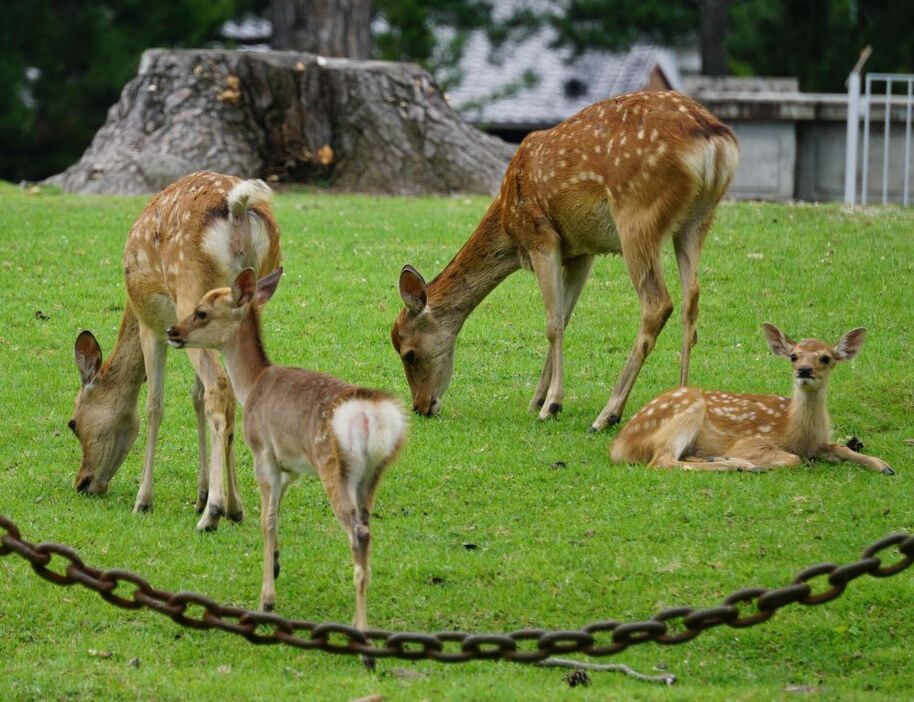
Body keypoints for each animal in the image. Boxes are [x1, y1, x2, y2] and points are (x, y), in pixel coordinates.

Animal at [71, 172, 280, 532]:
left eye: (72, 422)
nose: (82, 482)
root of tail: (239, 207)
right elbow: (196, 397)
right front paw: (205, 495)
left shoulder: (153, 327)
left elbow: (155, 405)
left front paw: (144, 499)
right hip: (252, 299)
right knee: (231, 389)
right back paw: (230, 506)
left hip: (191, 289)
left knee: (218, 385)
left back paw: (214, 513)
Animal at [165, 268, 406, 632]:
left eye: (202, 312)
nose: (172, 331)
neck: (251, 386)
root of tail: (374, 417)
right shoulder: (291, 465)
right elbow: (278, 512)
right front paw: (277, 564)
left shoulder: (262, 451)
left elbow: (267, 520)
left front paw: (266, 600)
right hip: (372, 476)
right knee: (367, 529)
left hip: (334, 467)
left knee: (359, 533)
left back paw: (361, 632)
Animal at [392, 91, 740, 432]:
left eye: (409, 354)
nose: (421, 406)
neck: (508, 221)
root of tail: (716, 143)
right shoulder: (581, 250)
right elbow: (566, 316)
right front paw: (537, 400)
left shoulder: (540, 236)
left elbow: (552, 323)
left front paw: (551, 405)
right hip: (697, 220)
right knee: (691, 302)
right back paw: (681, 400)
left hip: (638, 215)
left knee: (658, 304)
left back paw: (608, 414)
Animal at [604, 322, 892, 476]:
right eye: (794, 356)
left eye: (826, 358)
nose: (804, 370)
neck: (794, 429)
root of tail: (618, 446)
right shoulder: (752, 441)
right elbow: (793, 459)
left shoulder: (820, 442)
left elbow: (842, 448)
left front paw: (884, 465)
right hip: (688, 410)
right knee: (661, 461)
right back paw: (740, 465)